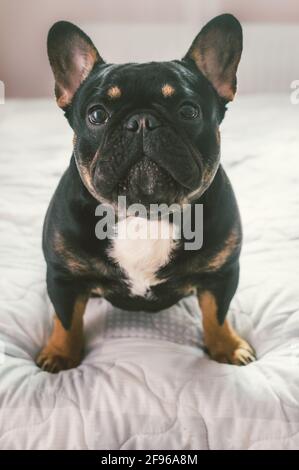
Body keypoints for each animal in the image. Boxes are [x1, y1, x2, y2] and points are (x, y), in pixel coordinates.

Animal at [36, 13, 256, 370]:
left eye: (188, 111)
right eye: (97, 114)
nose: (141, 121)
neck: (145, 212)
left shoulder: (221, 274)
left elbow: (217, 314)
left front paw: (226, 345)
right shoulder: (63, 277)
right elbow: (67, 320)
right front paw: (60, 353)